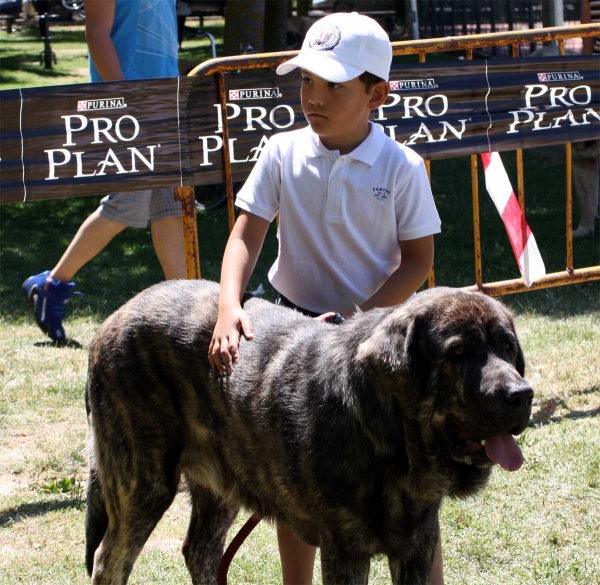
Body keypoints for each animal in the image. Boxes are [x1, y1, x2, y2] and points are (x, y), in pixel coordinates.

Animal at [85, 280, 536, 584]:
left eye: (507, 347)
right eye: (458, 353)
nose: (521, 394)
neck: (392, 446)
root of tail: (111, 320)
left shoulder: (418, 544)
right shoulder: (345, 551)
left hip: (220, 483)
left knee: (199, 550)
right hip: (143, 485)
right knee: (109, 560)